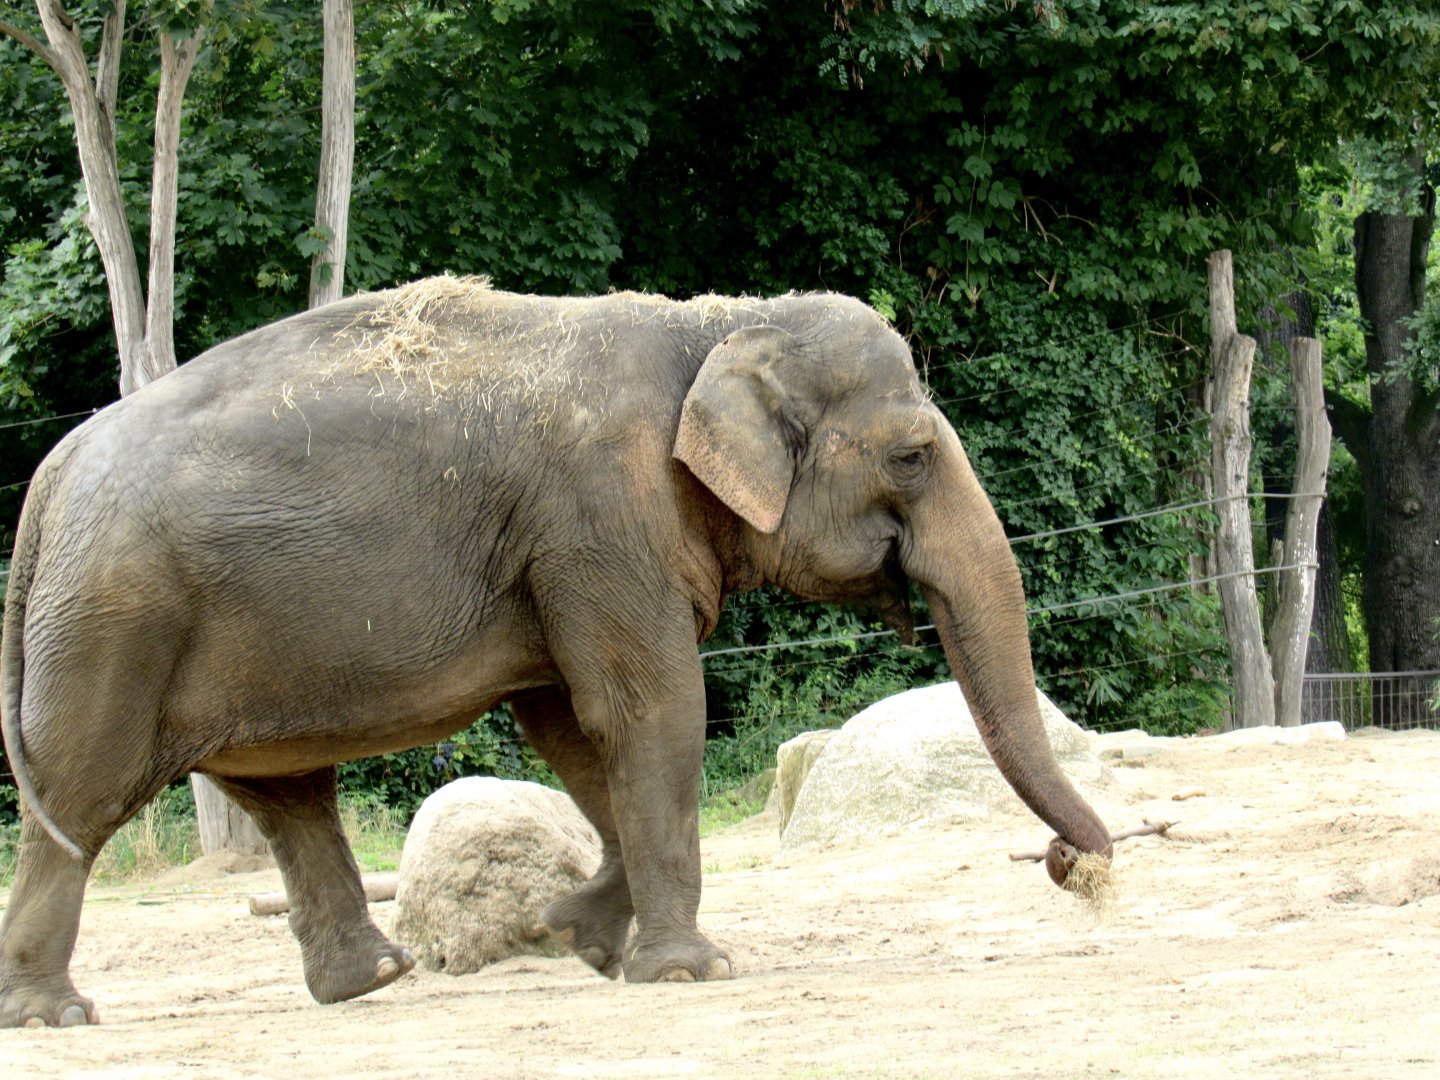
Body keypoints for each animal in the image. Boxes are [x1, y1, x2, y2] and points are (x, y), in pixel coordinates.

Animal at [0, 277, 1112, 1027]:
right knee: (82, 795)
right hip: (115, 622)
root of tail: (49, 477)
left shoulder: (564, 551)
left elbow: (571, 725)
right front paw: (689, 972)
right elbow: (649, 707)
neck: (709, 327)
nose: (1075, 869)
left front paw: (575, 933)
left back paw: (373, 980)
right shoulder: (600, 517)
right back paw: (56, 1015)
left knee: (284, 794)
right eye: (914, 456)